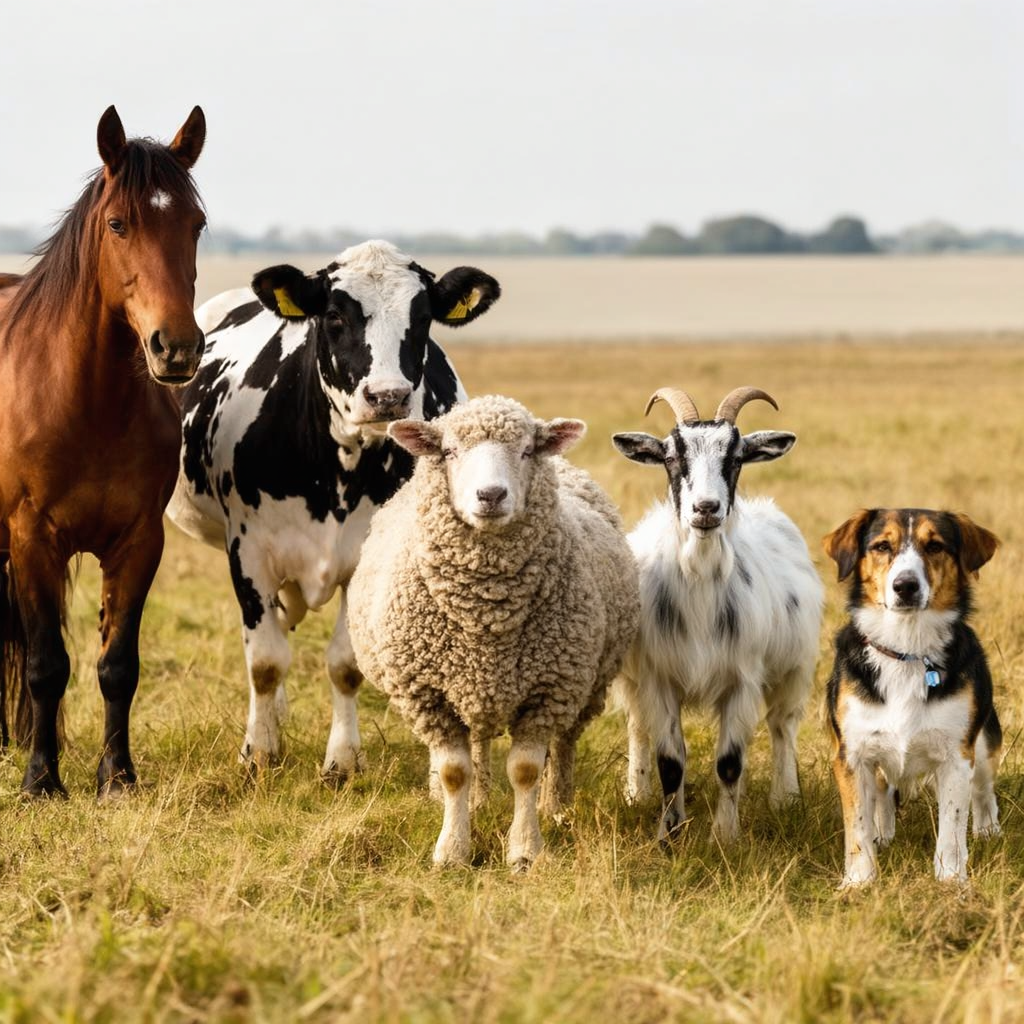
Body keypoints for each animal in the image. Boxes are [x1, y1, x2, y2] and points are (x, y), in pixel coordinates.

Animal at [0, 105, 207, 798]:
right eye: (118, 223)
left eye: (196, 225)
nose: (176, 347)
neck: (87, 402)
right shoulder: (32, 540)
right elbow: (46, 664)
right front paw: (42, 780)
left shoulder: (139, 543)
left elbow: (118, 665)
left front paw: (117, 776)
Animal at [166, 240, 500, 779]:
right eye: (335, 316)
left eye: (422, 318)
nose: (387, 396)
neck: (340, 466)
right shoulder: (249, 554)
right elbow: (265, 661)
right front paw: (259, 752)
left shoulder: (365, 562)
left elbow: (345, 664)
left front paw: (342, 761)